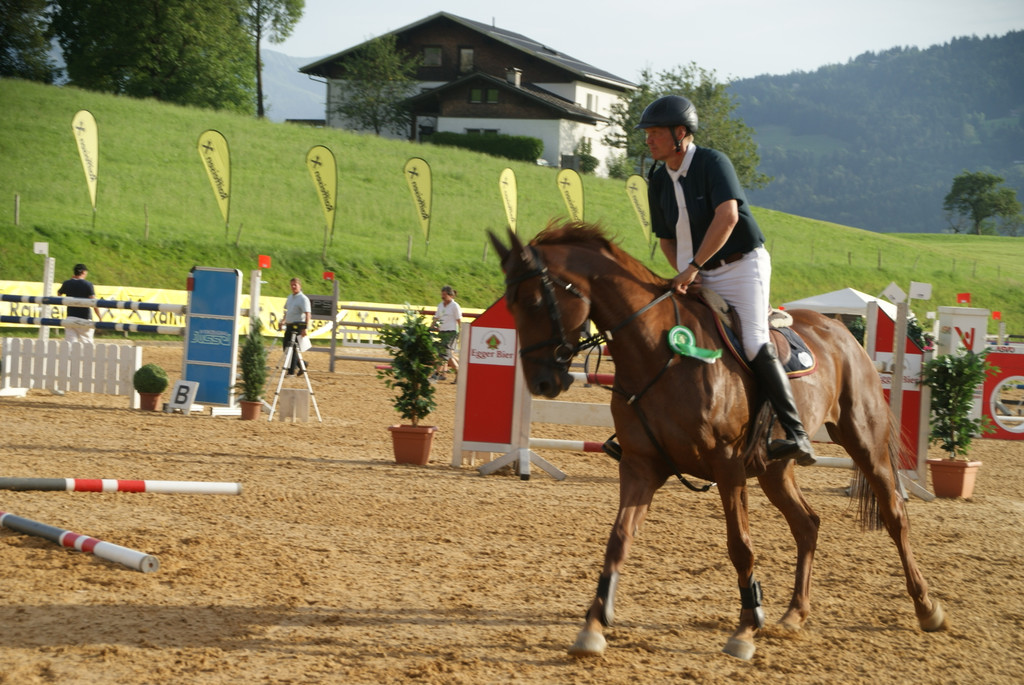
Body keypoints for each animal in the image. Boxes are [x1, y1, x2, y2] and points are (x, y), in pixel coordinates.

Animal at [488, 221, 947, 661]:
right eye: (509, 306)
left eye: (534, 301)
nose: (543, 383)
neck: (657, 352)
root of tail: (840, 327)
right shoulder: (640, 466)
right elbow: (618, 540)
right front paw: (593, 626)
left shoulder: (727, 466)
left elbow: (740, 547)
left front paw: (745, 629)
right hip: (774, 469)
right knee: (807, 524)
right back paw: (794, 614)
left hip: (864, 442)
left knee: (894, 516)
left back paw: (927, 608)